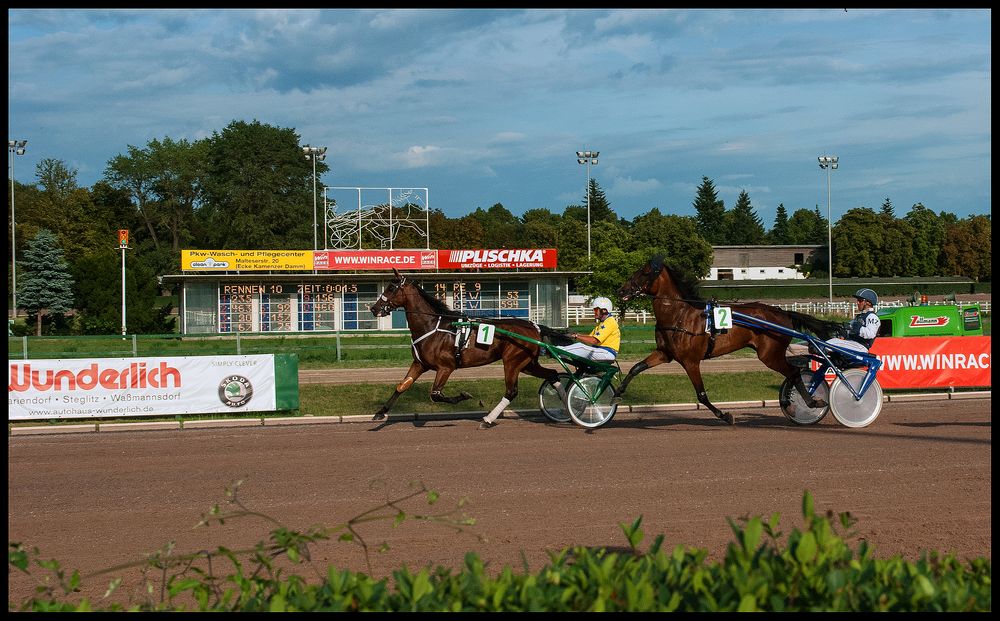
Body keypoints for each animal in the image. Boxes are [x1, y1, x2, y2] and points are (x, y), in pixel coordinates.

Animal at [368, 268, 576, 428]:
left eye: (391, 287)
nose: (374, 308)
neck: (432, 326)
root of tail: (534, 327)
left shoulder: (446, 367)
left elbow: (435, 394)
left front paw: (464, 395)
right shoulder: (420, 364)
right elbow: (402, 386)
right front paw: (380, 412)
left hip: (512, 362)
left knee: (511, 391)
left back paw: (488, 419)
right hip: (527, 363)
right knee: (552, 374)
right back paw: (569, 408)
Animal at [616, 254, 844, 424]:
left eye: (643, 273)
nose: (621, 290)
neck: (679, 316)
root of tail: (782, 312)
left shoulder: (690, 361)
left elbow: (701, 394)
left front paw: (725, 415)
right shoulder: (665, 354)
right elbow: (636, 367)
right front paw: (618, 391)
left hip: (770, 355)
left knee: (795, 372)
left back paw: (809, 403)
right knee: (793, 373)